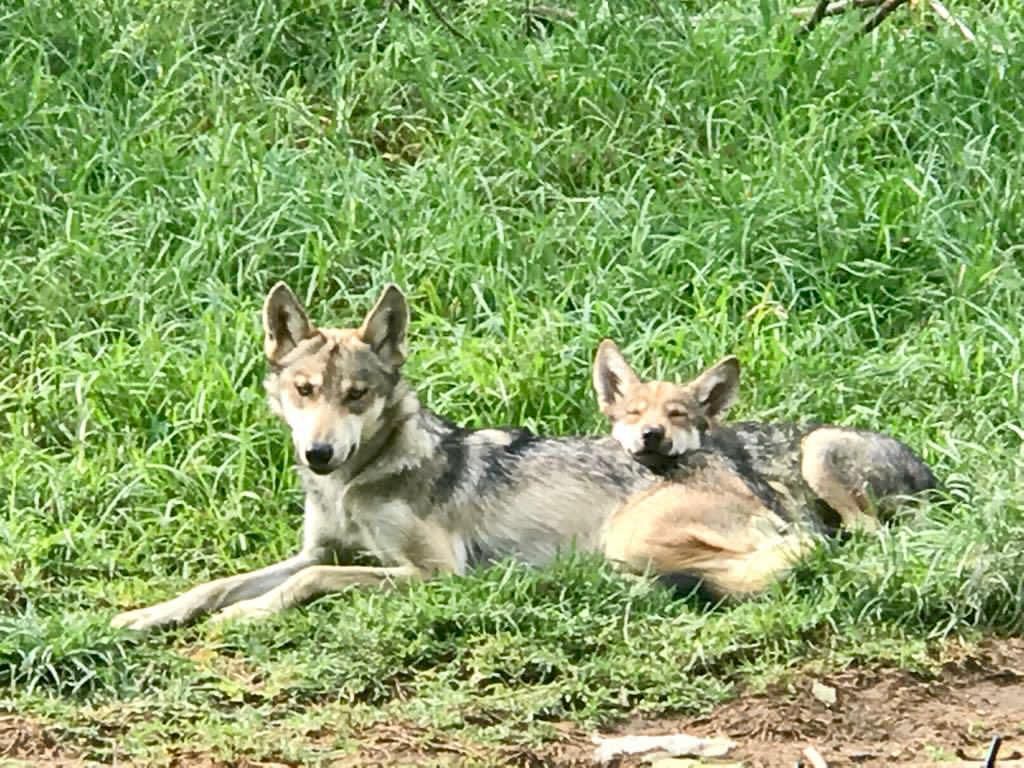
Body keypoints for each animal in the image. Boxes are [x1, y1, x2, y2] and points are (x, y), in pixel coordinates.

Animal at [111, 285, 814, 631]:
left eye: (357, 395)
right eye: (304, 390)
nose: (319, 452)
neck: (355, 484)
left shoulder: (433, 573)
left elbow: (306, 585)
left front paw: (246, 615)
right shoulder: (317, 550)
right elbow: (215, 583)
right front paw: (147, 615)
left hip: (627, 538)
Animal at [592, 339, 937, 534]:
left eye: (677, 415)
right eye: (634, 413)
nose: (651, 434)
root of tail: (928, 476)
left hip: (817, 450)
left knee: (868, 528)